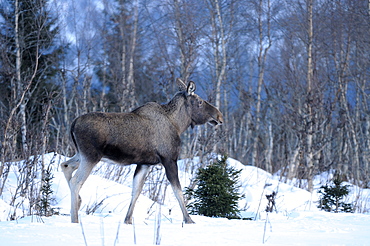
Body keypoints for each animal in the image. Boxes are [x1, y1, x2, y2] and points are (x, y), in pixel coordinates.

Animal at [60, 78, 223, 224]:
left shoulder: (144, 163)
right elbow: (178, 190)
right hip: (91, 156)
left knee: (65, 165)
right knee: (76, 181)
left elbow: (136, 191)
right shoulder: (169, 159)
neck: (178, 125)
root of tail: (73, 124)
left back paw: (78, 202)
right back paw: (75, 219)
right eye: (200, 101)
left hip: (81, 154)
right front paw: (188, 220)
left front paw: (128, 220)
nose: (219, 116)